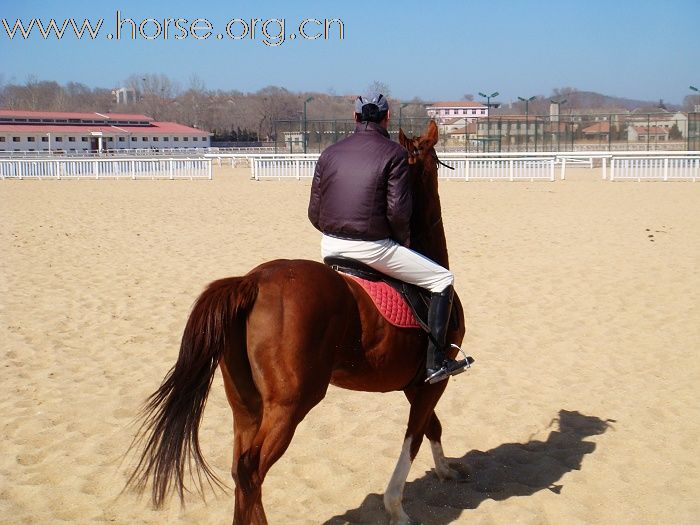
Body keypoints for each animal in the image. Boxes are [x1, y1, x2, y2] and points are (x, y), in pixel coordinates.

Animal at [130, 121, 470, 520]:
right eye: (435, 164)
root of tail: (252, 281)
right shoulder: (433, 381)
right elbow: (413, 438)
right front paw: (397, 507)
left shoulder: (412, 384)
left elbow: (432, 426)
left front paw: (446, 470)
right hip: (290, 405)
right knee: (251, 470)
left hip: (245, 403)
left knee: (239, 469)